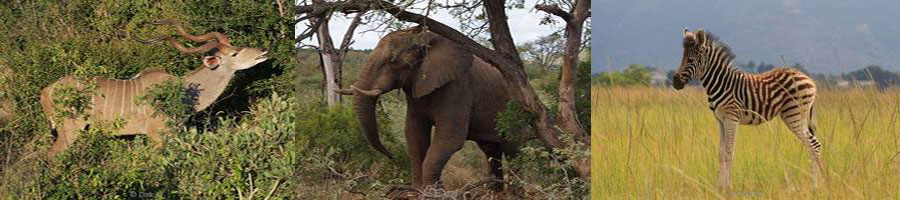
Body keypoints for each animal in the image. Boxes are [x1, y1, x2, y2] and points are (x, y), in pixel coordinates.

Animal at [336, 27, 520, 191]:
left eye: (393, 61)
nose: (391, 155)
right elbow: (414, 134)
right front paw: (418, 189)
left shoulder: (458, 87)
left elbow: (449, 138)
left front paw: (432, 191)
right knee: (491, 150)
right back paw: (494, 192)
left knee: (513, 148)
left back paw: (514, 192)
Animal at [676, 28, 824, 191]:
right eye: (682, 58)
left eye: (690, 60)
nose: (675, 82)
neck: (721, 83)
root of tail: (809, 80)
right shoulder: (720, 120)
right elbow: (721, 152)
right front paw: (719, 187)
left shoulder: (732, 118)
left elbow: (728, 151)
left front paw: (727, 187)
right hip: (797, 115)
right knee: (811, 145)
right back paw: (816, 183)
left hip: (793, 114)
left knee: (814, 145)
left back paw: (816, 185)